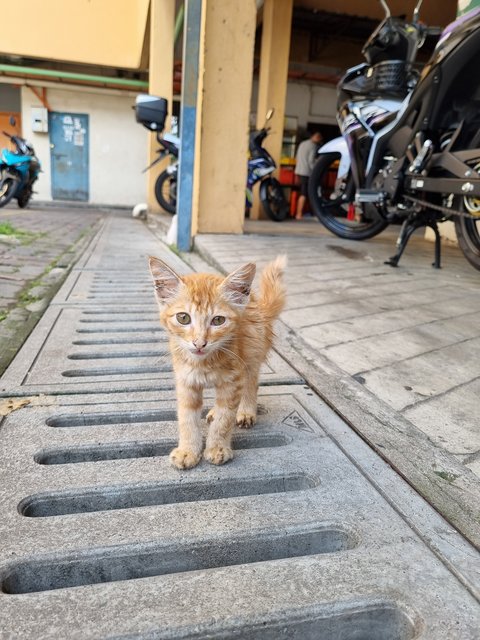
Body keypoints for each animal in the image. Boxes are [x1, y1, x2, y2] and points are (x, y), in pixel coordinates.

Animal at [148, 255, 286, 470]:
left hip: (252, 351)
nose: (199, 343)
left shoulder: (232, 381)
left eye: (218, 320)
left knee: (251, 382)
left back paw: (246, 410)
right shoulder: (185, 380)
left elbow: (225, 418)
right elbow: (187, 418)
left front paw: (217, 448)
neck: (203, 363)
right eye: (183, 317)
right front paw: (188, 451)